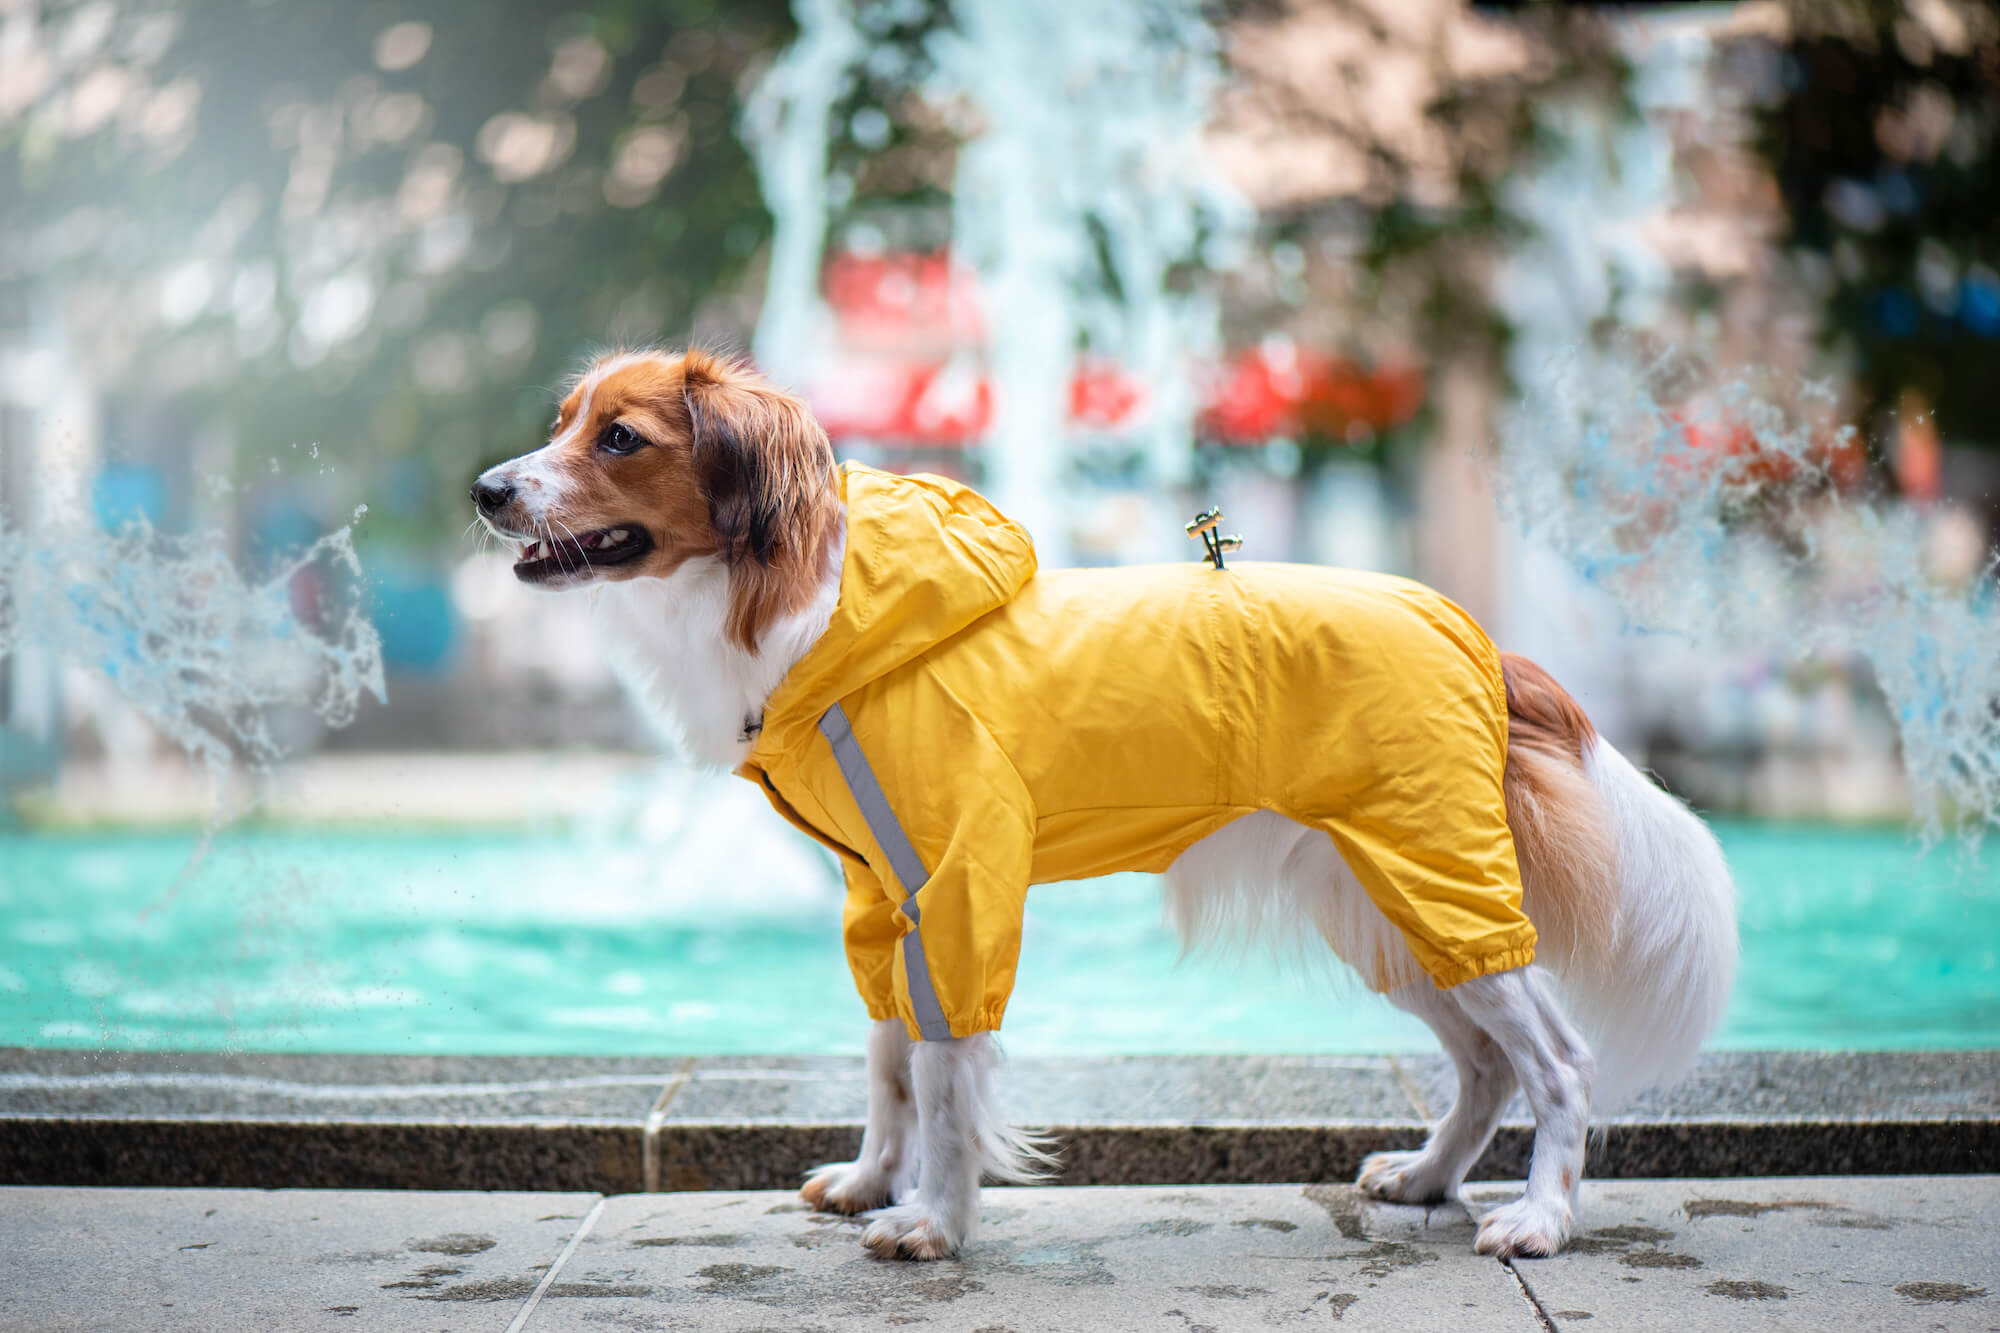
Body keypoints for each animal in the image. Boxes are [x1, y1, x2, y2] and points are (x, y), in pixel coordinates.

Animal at [468, 344, 1736, 1256]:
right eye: (562, 420)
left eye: (619, 437)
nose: (484, 488)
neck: (820, 611)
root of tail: (1472, 633)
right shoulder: (880, 896)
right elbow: (886, 1056)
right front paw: (876, 1178)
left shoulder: (960, 883)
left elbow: (942, 1069)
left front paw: (934, 1220)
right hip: (1384, 901)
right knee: (1483, 1066)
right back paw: (1427, 1178)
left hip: (1438, 880)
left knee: (1557, 1063)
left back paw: (1542, 1217)